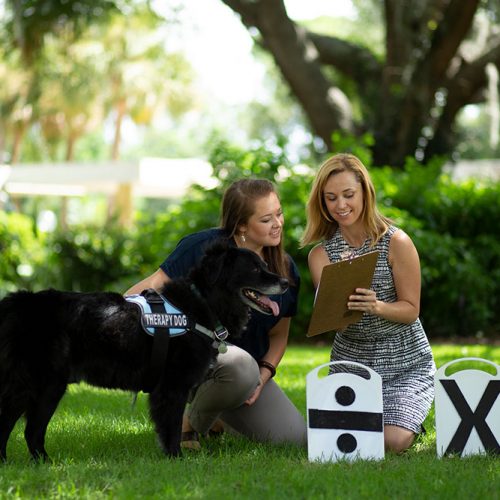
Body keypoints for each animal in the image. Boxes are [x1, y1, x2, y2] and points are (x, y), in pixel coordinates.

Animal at [0, 242, 288, 460]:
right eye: (255, 268)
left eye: (264, 265)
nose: (286, 282)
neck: (201, 305)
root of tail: (15, 303)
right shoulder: (172, 386)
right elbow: (171, 428)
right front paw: (177, 460)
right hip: (38, 385)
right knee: (18, 427)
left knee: (31, 432)